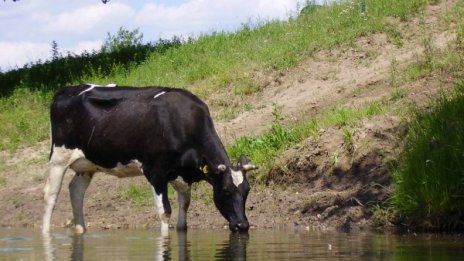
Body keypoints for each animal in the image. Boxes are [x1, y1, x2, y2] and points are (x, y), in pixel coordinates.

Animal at [42, 85, 258, 234]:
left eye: (247, 191)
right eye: (225, 191)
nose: (242, 225)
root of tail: (67, 89)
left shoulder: (181, 175)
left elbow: (184, 209)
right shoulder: (155, 172)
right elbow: (165, 211)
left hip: (87, 165)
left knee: (75, 191)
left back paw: (81, 230)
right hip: (58, 158)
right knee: (51, 194)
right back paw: (45, 232)